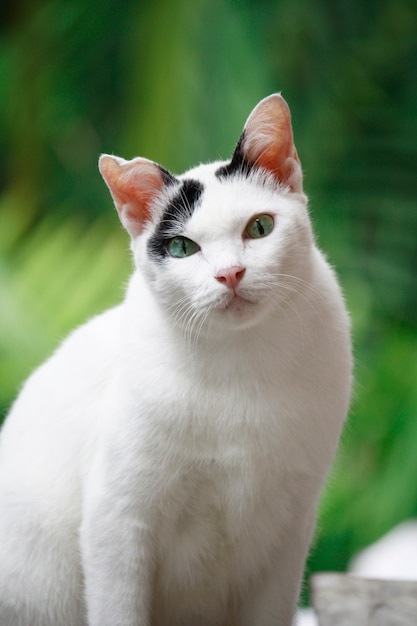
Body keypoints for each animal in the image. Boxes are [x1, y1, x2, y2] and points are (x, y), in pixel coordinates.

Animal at [0, 94, 352, 624]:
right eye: (182, 247)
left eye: (260, 227)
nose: (230, 273)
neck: (239, 365)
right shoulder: (117, 520)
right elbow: (120, 609)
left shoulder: (290, 528)